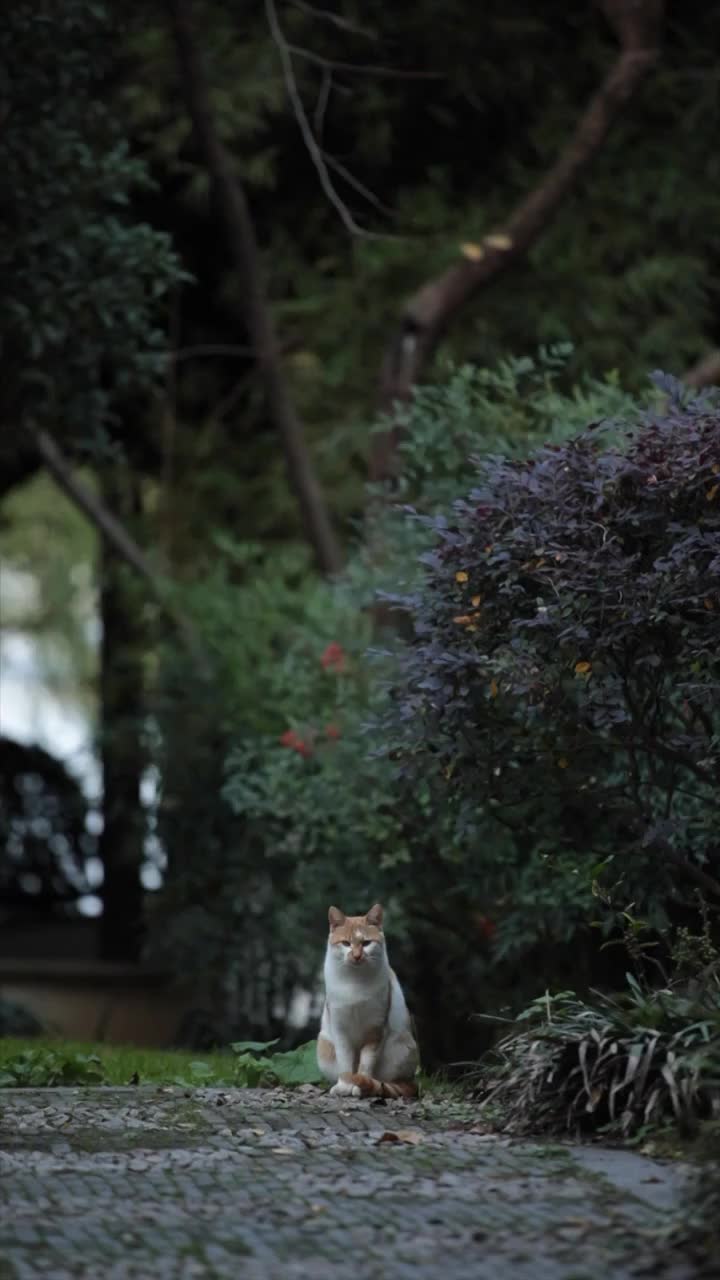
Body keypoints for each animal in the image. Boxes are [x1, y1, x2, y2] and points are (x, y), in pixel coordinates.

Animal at [315, 901, 420, 1100]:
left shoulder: (376, 1029)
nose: (357, 956)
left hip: (403, 1045)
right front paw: (344, 1085)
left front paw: (360, 1085)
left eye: (366, 943)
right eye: (346, 943)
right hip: (323, 1045)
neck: (354, 983)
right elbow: (345, 1061)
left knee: (392, 1082)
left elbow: (366, 1063)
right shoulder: (340, 1028)